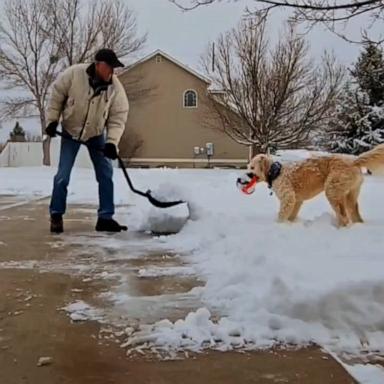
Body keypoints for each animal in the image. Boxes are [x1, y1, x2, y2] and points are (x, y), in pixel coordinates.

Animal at [249, 146, 384, 226]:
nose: (245, 176)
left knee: (343, 216)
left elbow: (282, 215)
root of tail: (353, 161)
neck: (275, 172)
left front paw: (278, 225)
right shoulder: (297, 201)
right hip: (350, 194)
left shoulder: (288, 198)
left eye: (252, 167)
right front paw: (290, 223)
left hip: (332, 191)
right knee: (354, 214)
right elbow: (292, 215)